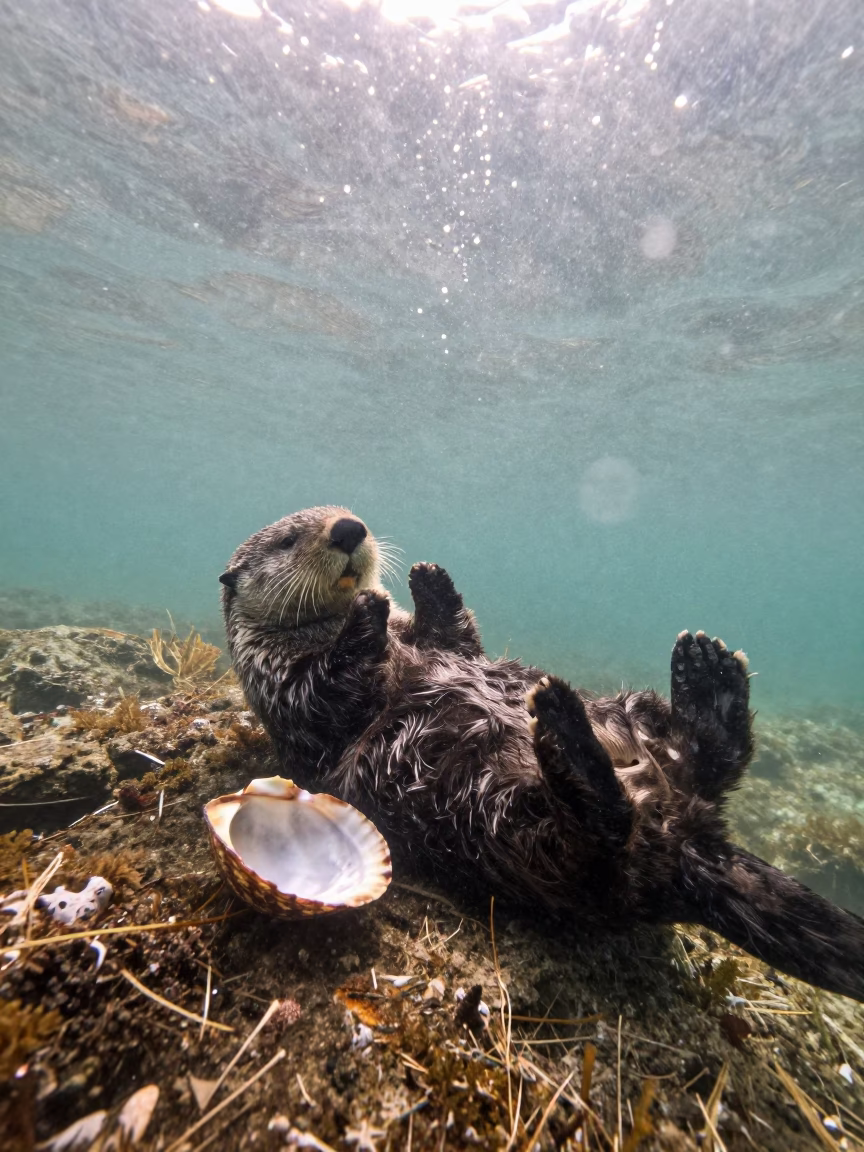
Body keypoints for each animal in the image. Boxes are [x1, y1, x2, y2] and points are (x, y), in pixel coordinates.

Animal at [220, 506, 864, 1002]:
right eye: (287, 540)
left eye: (348, 511)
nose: (348, 529)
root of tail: (687, 840)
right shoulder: (287, 689)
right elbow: (331, 688)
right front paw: (367, 608)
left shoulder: (444, 642)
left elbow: (456, 637)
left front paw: (429, 582)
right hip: (517, 826)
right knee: (604, 829)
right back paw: (565, 733)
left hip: (632, 713)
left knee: (706, 759)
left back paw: (706, 678)